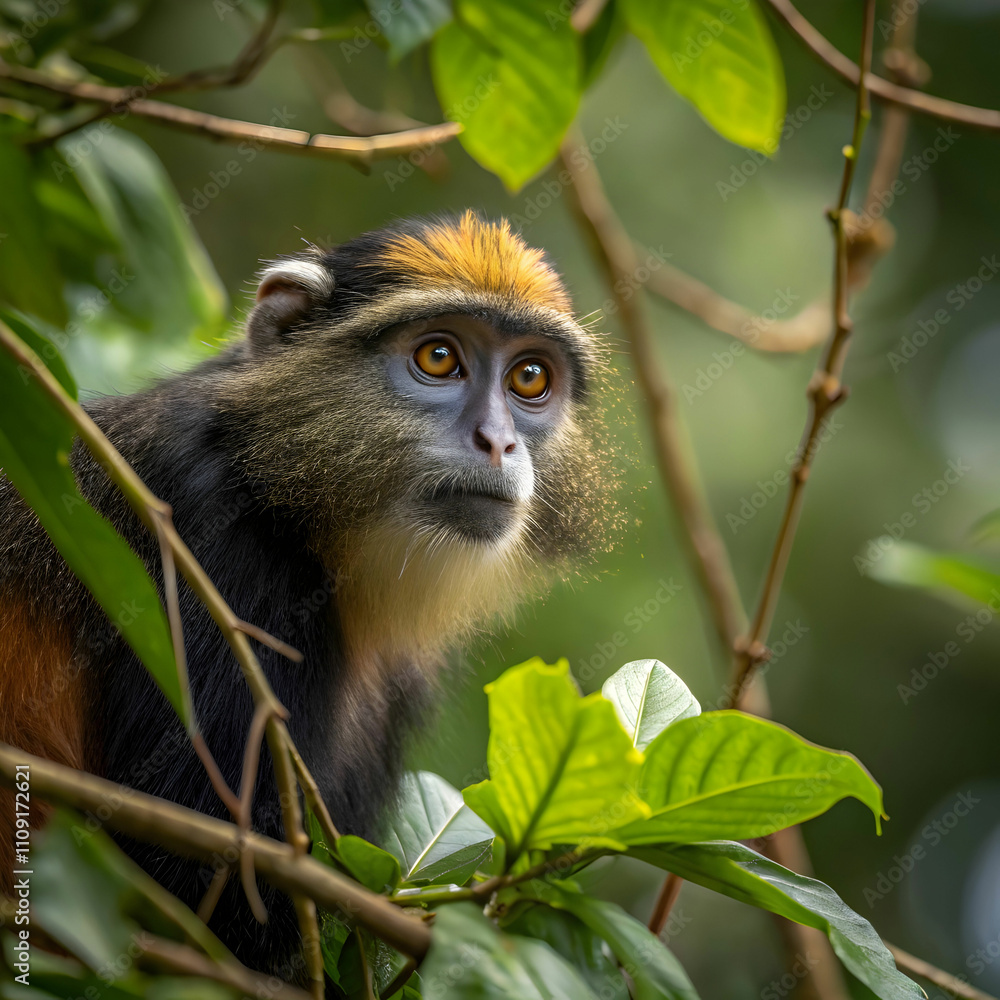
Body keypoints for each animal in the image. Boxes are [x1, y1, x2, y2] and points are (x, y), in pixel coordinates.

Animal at [0, 211, 612, 977]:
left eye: (530, 376)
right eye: (439, 357)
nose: (498, 442)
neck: (280, 484)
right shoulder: (207, 535)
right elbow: (197, 886)